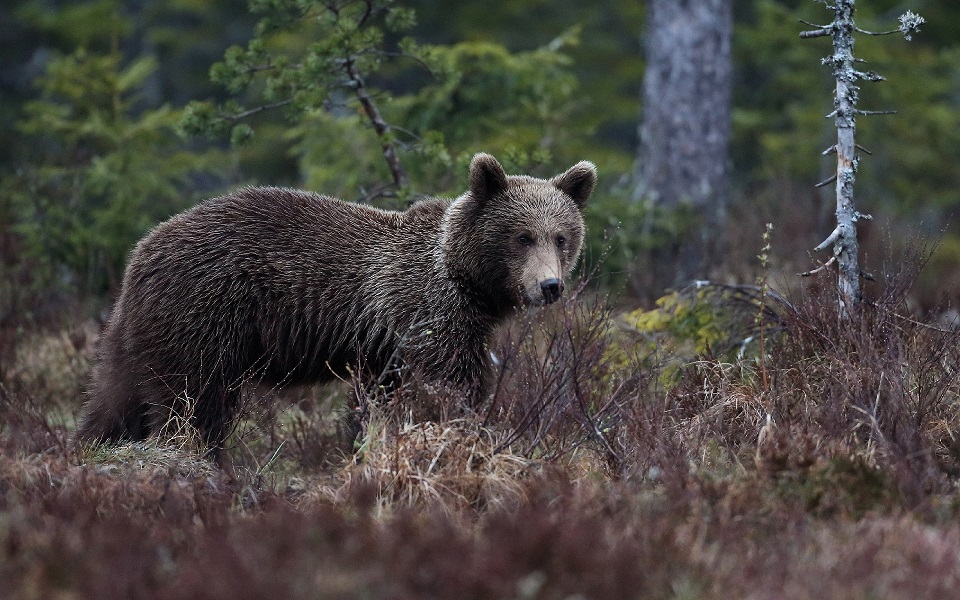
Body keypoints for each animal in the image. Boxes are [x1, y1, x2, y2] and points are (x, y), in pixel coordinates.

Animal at [77, 154, 592, 454]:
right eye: (522, 236)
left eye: (561, 237)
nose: (549, 285)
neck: (467, 281)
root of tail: (140, 252)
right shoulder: (425, 309)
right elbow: (447, 383)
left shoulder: (385, 348)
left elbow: (378, 400)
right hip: (205, 312)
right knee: (194, 397)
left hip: (141, 328)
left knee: (116, 393)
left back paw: (94, 444)